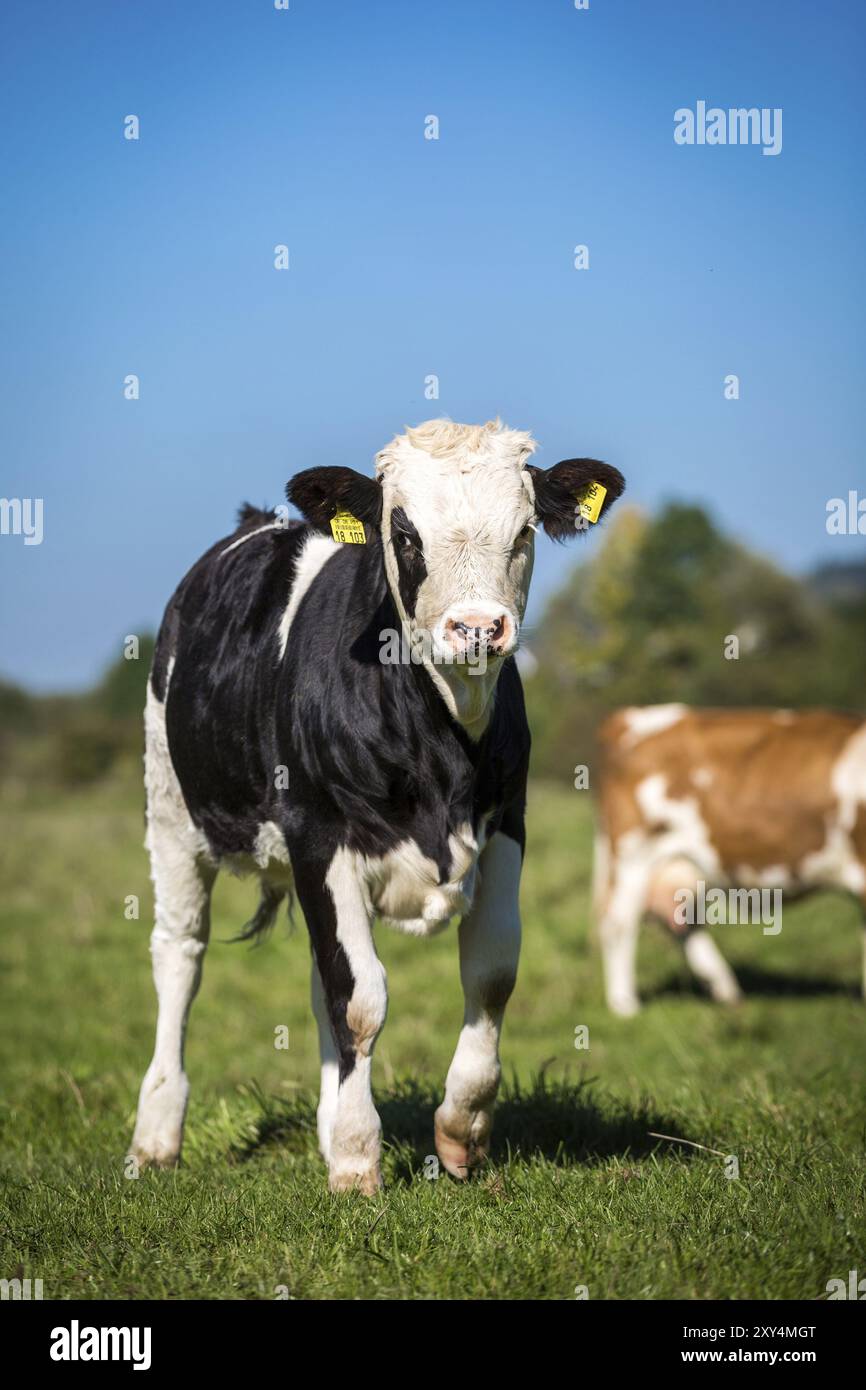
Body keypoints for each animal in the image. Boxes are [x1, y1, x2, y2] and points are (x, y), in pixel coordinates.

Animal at [130, 419, 624, 1192]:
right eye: (405, 533)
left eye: (523, 531)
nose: (476, 628)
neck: (439, 743)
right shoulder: (320, 833)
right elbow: (359, 1000)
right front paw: (359, 1160)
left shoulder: (506, 827)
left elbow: (489, 976)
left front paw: (458, 1131)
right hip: (172, 816)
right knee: (180, 956)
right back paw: (156, 1134)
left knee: (316, 977)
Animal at [594, 704, 866, 1016]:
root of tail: (628, 717)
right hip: (635, 854)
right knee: (619, 923)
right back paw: (625, 1006)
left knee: (681, 919)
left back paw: (724, 989)